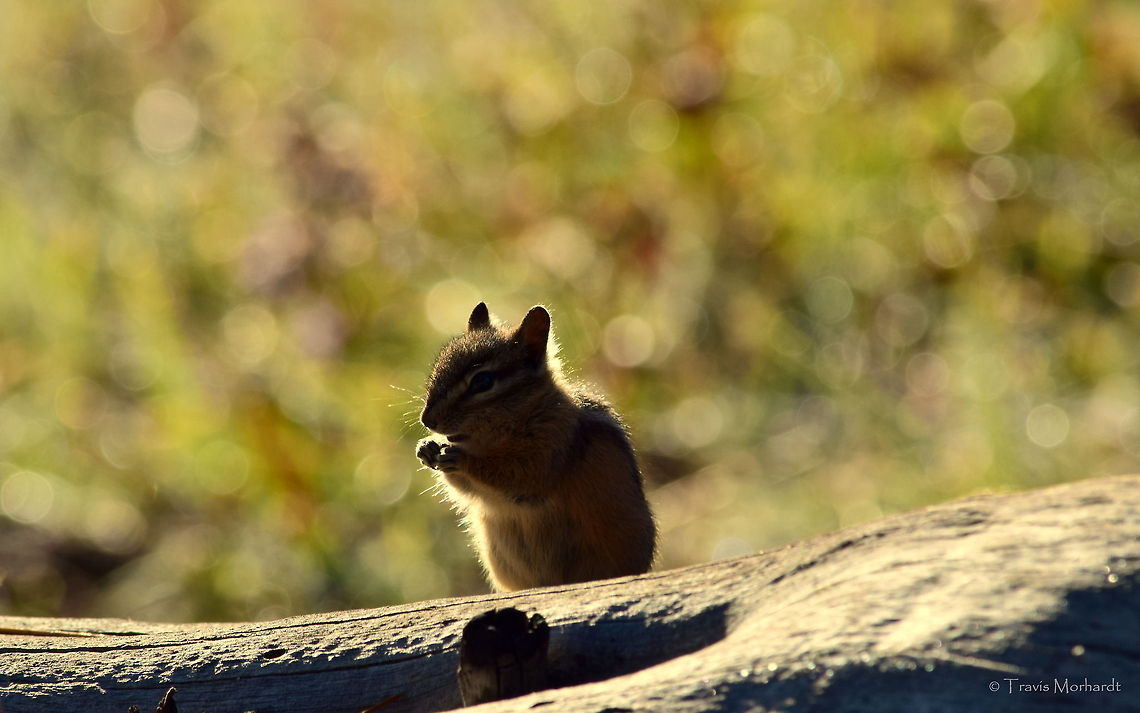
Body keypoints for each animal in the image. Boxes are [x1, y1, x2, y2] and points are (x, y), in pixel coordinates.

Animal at [415, 302, 656, 592]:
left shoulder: (551, 447)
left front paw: (462, 460)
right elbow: (469, 491)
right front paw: (426, 447)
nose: (427, 420)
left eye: (482, 382)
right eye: (438, 368)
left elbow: (519, 475)